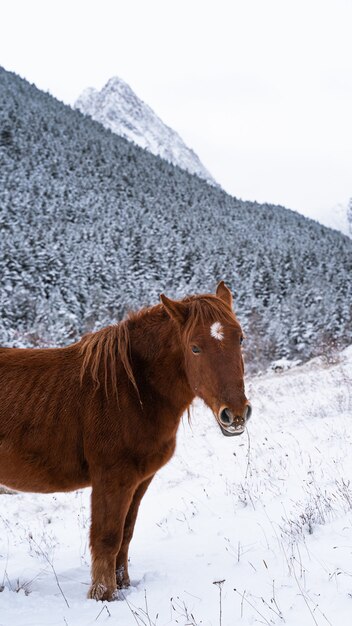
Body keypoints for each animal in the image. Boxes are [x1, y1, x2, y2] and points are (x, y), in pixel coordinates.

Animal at [0, 280, 250, 596]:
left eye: (240, 339)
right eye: (194, 347)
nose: (236, 414)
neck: (130, 390)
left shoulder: (139, 480)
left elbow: (125, 535)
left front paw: (123, 587)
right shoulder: (112, 479)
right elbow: (107, 539)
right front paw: (103, 595)